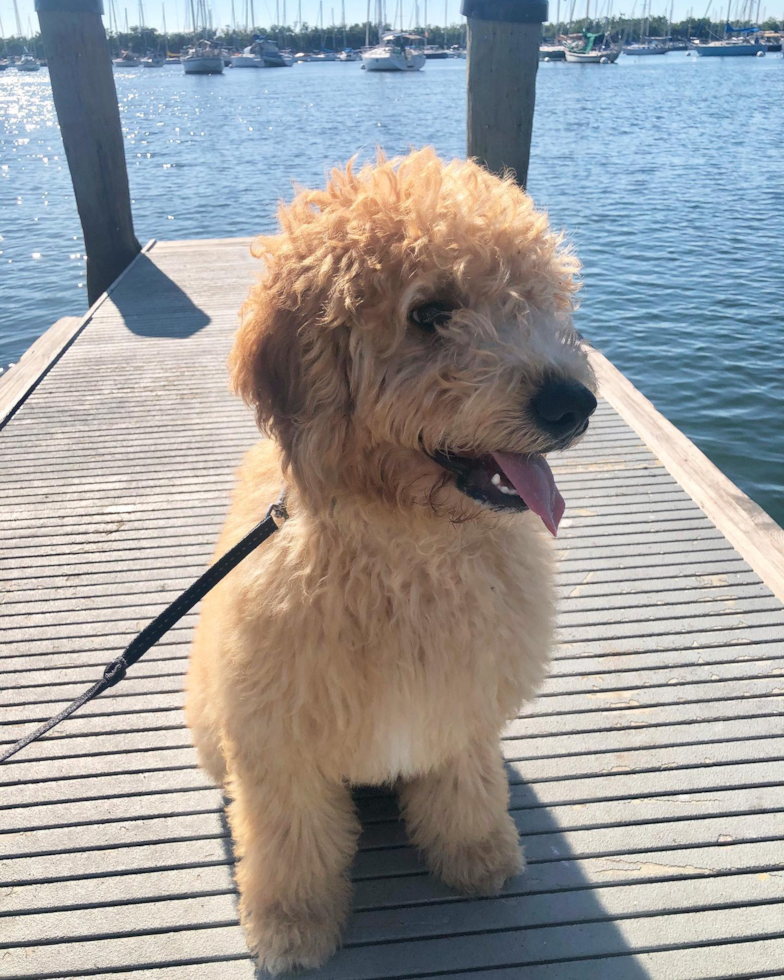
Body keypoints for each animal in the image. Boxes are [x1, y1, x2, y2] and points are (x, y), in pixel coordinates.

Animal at [187, 147, 596, 972]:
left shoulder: (461, 711)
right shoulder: (277, 747)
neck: (408, 545)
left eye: (539, 296)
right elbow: (289, 844)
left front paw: (477, 856)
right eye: (429, 312)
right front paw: (291, 926)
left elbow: (466, 787)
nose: (573, 403)